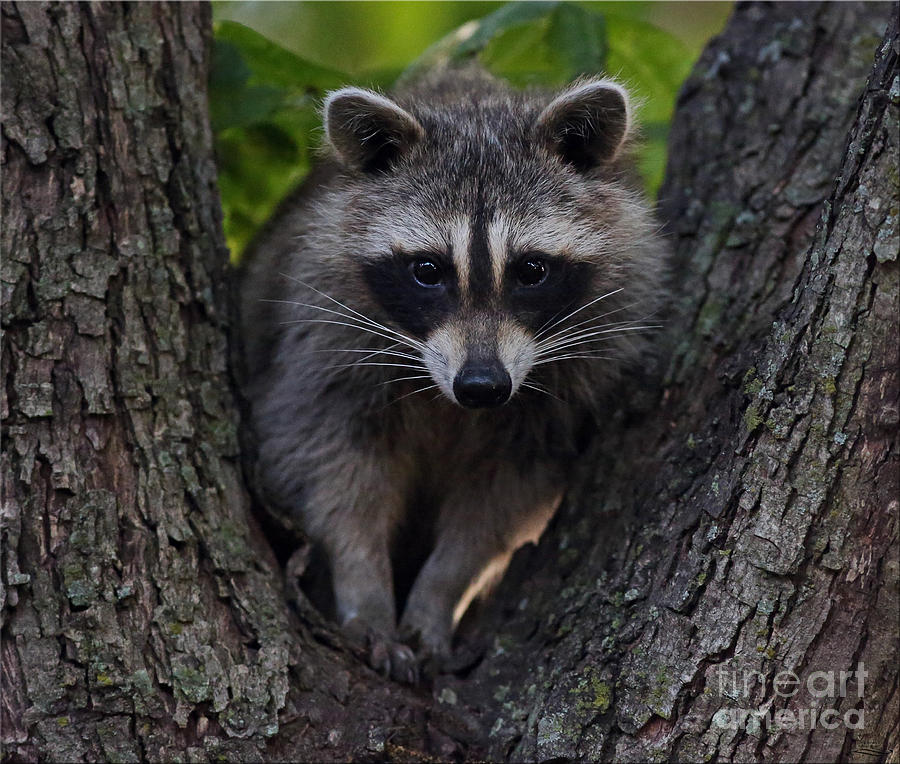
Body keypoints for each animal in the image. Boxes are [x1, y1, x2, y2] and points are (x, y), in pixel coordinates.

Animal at [239, 68, 668, 684]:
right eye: (428, 270)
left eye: (531, 270)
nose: (482, 386)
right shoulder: (321, 341)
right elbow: (333, 469)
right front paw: (364, 588)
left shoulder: (567, 381)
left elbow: (500, 501)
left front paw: (438, 596)